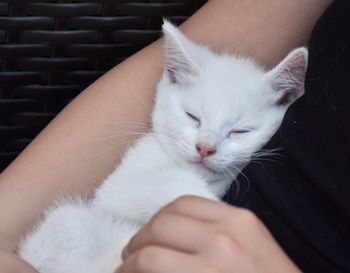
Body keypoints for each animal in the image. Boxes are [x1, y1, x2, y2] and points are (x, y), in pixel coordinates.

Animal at [17, 21, 308, 272]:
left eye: (240, 131)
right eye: (192, 116)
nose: (205, 148)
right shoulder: (115, 187)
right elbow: (161, 183)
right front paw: (207, 201)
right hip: (66, 224)